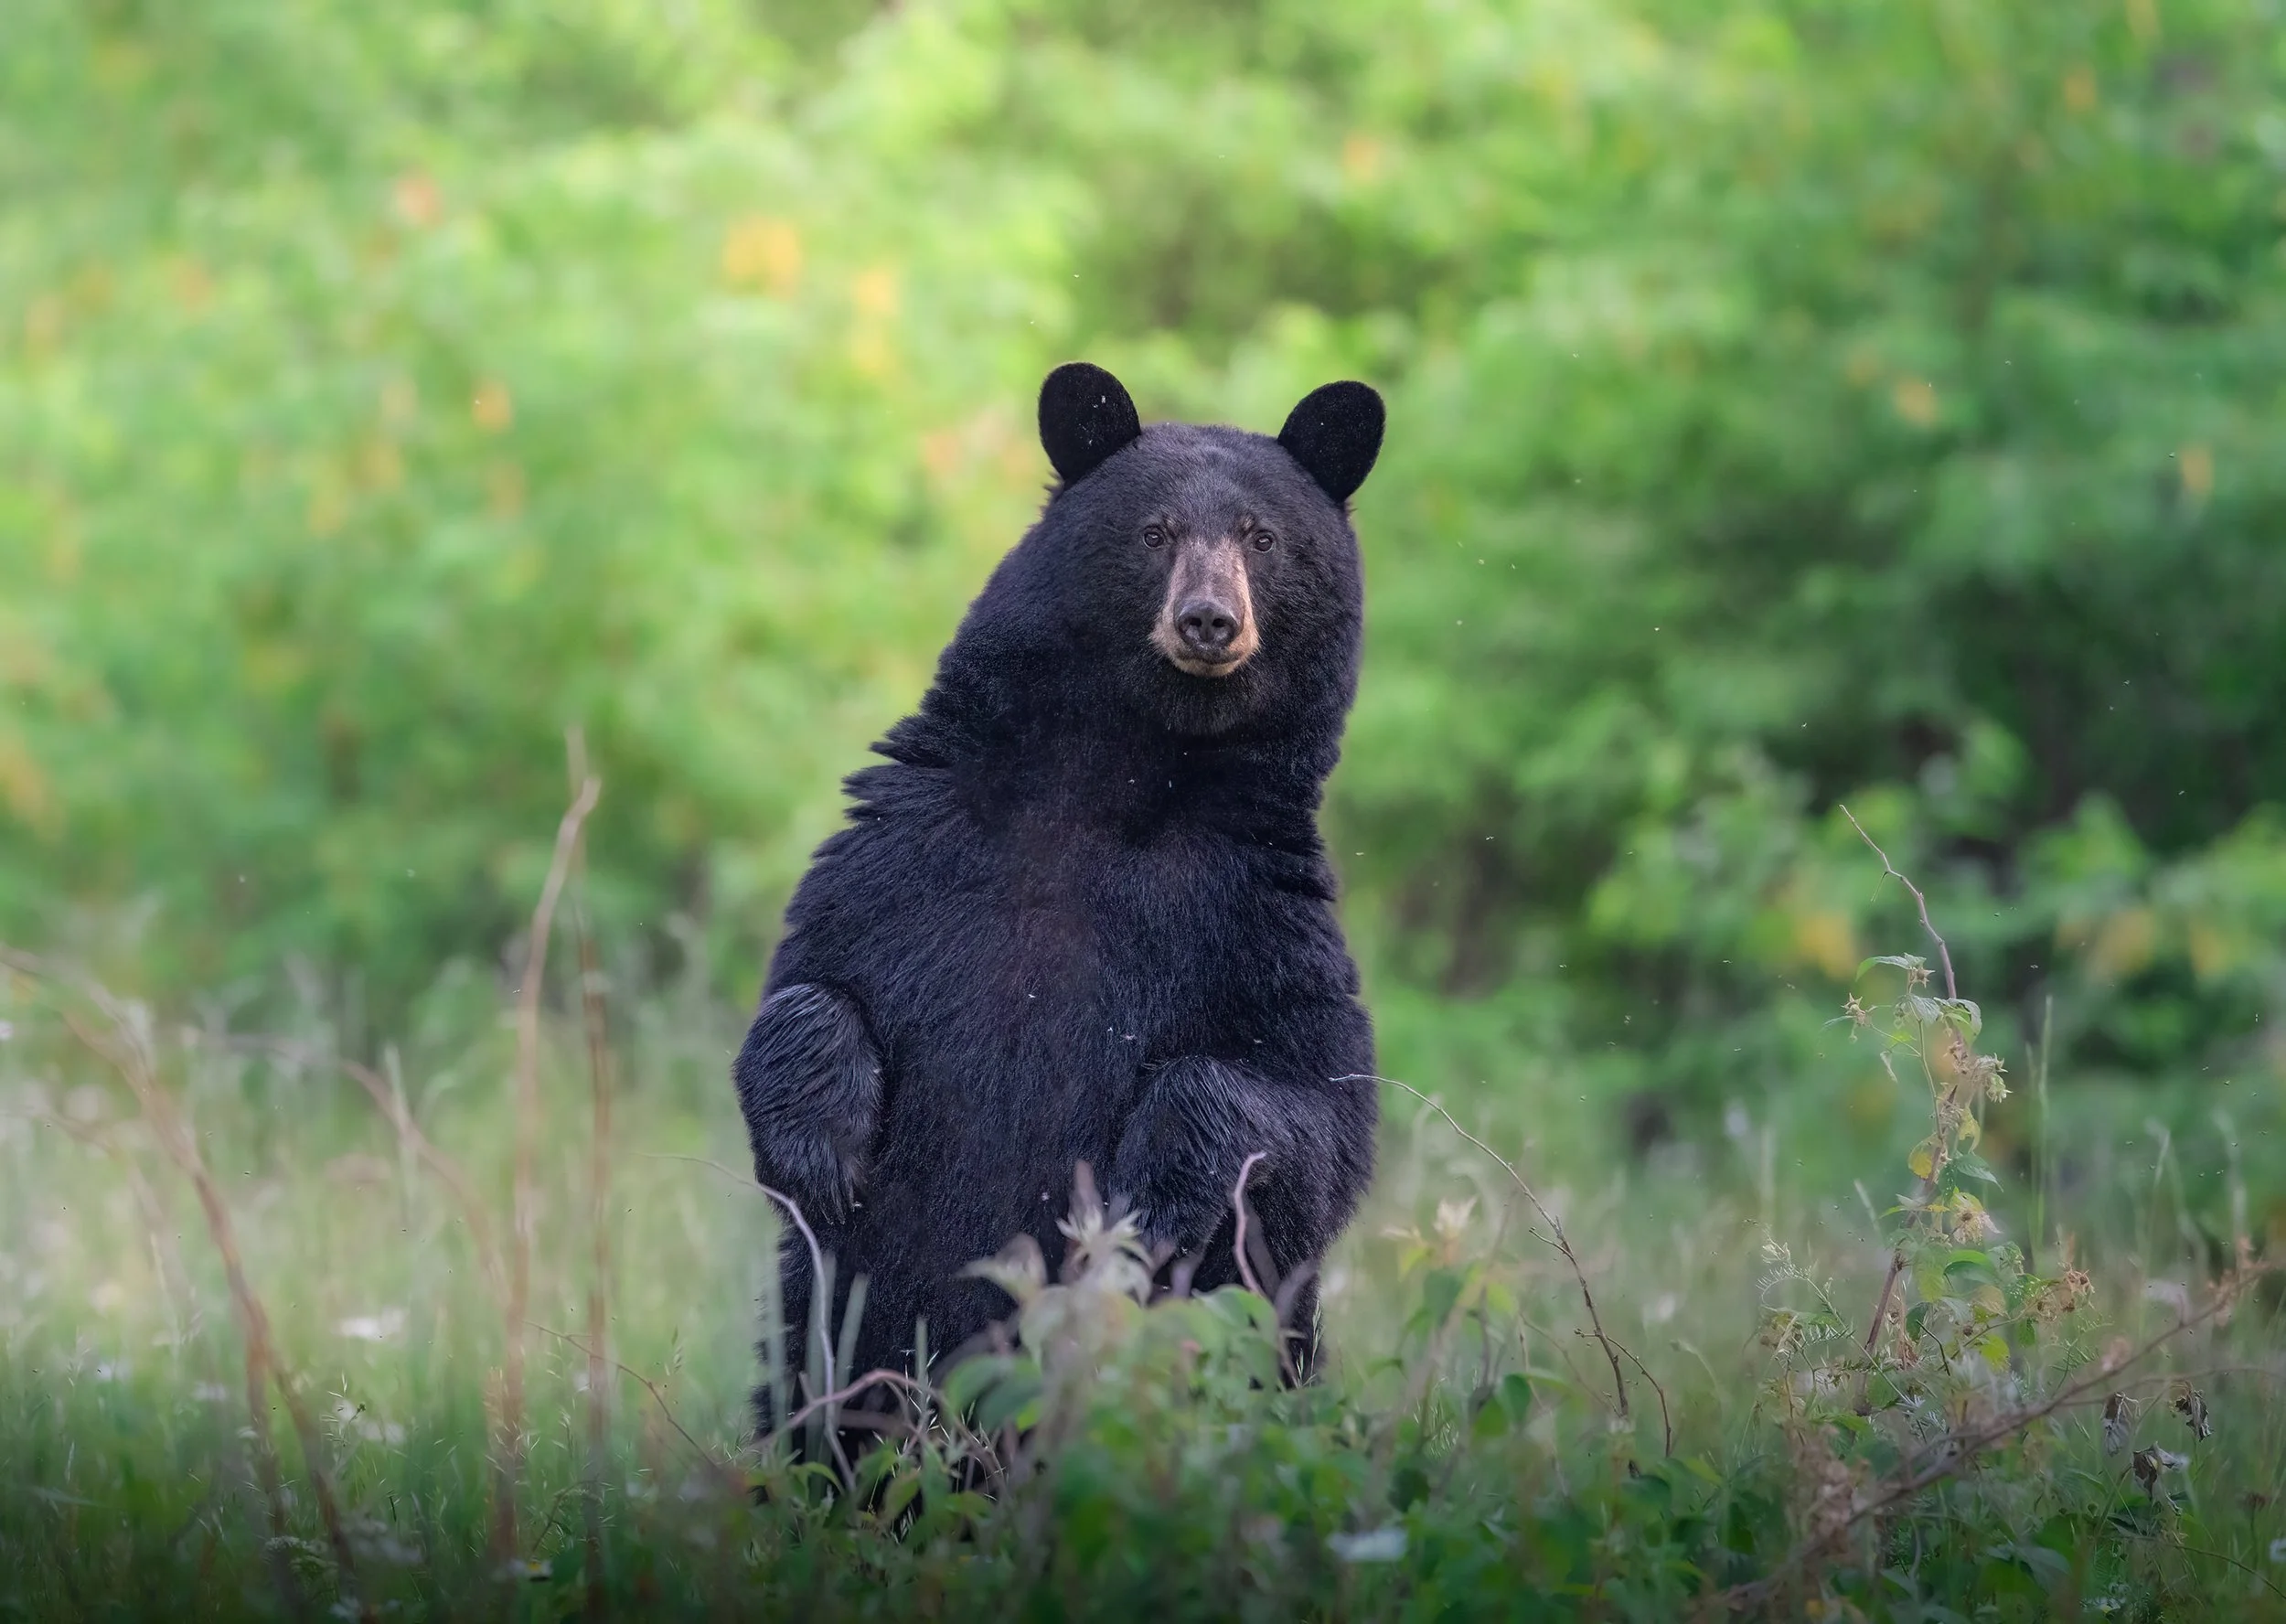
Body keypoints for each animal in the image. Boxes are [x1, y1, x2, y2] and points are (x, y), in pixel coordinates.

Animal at [733, 362, 1385, 1424]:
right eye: (1155, 531)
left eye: (1262, 537)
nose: (1210, 620)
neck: (1112, 782)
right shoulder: (911, 850)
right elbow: (814, 981)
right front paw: (820, 1154)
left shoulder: (1256, 918)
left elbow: (1309, 1117)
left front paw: (1151, 1205)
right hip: (828, 1317)